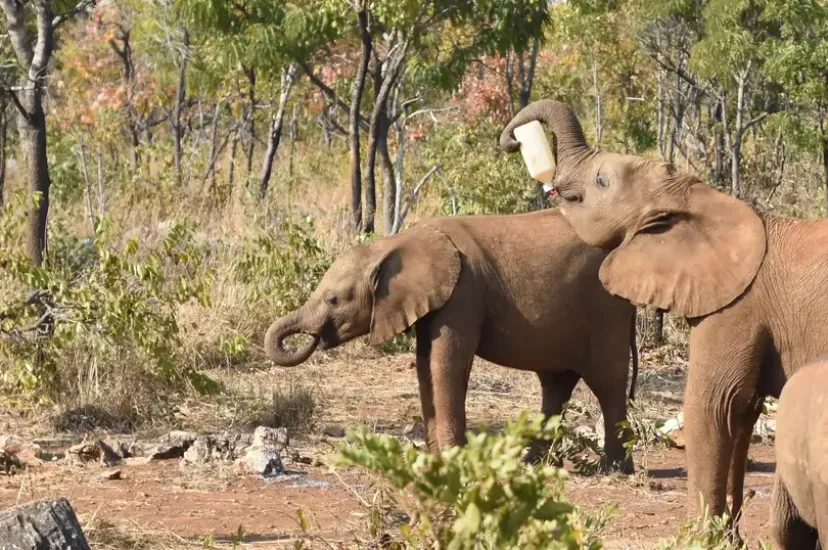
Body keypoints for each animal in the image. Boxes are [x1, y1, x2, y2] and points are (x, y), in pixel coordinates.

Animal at [264, 209, 639, 472]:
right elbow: (424, 364)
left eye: (332, 300)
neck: (395, 243)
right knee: (556, 386)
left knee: (607, 383)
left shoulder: (463, 292)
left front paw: (451, 457)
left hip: (606, 311)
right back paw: (530, 464)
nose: (314, 338)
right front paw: (436, 456)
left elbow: (446, 362)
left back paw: (613, 469)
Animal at [499, 99, 828, 529]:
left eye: (602, 181)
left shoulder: (737, 306)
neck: (699, 198)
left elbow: (714, 405)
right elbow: (742, 413)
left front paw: (702, 536)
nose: (512, 141)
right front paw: (727, 535)